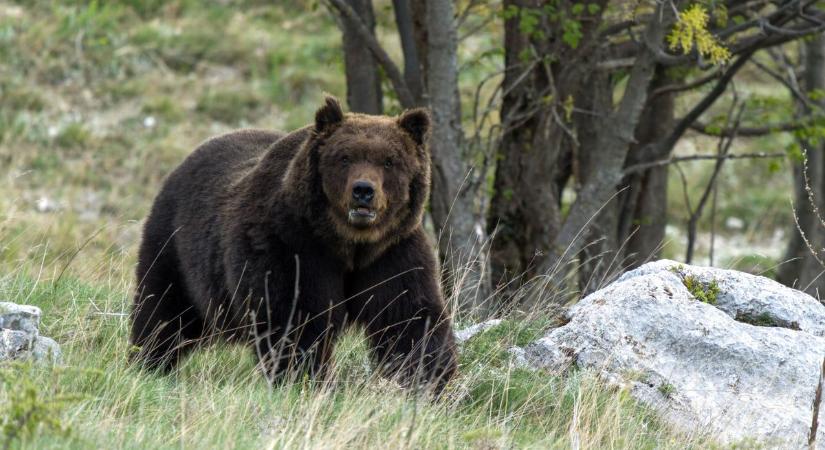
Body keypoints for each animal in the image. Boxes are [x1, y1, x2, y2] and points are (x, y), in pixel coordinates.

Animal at [132, 96, 460, 390]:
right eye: (345, 157)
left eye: (389, 161)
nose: (363, 191)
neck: (348, 242)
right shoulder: (292, 246)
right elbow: (296, 318)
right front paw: (306, 379)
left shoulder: (390, 253)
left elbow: (408, 318)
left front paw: (430, 382)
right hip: (175, 246)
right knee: (163, 310)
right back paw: (149, 362)